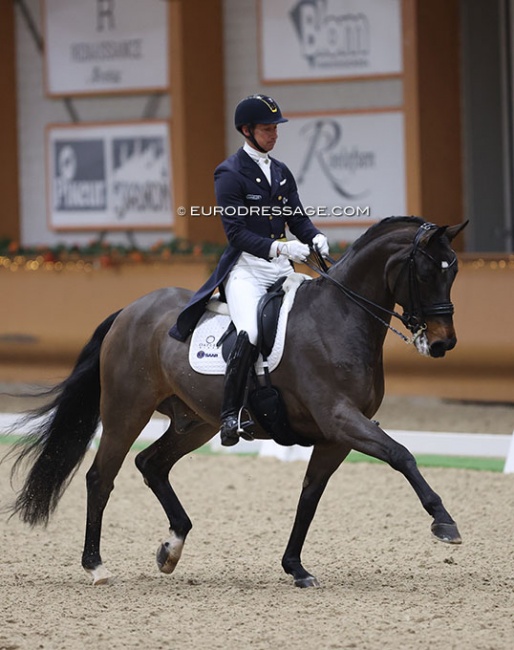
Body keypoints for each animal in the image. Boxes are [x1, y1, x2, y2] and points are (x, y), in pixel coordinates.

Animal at [6, 218, 466, 588]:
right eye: (427, 271)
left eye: (455, 270)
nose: (442, 344)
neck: (339, 317)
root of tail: (129, 311)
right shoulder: (340, 419)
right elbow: (401, 454)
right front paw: (444, 522)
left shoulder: (335, 437)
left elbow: (309, 497)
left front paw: (295, 567)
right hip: (126, 410)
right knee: (101, 477)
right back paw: (96, 566)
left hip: (196, 422)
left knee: (151, 464)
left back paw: (171, 548)